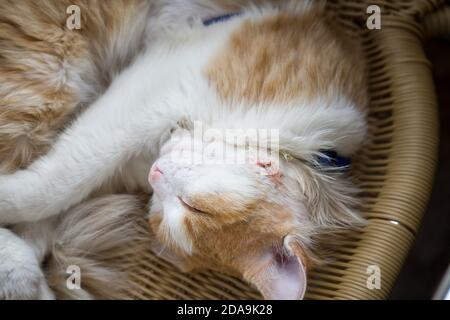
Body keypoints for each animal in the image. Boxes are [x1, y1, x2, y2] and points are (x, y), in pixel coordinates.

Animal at [0, 0, 366, 300]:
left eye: (164, 215)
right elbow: (58, 184)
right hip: (54, 75)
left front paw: (21, 260)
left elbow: (50, 212)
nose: (155, 173)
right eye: (195, 206)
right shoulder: (152, 93)